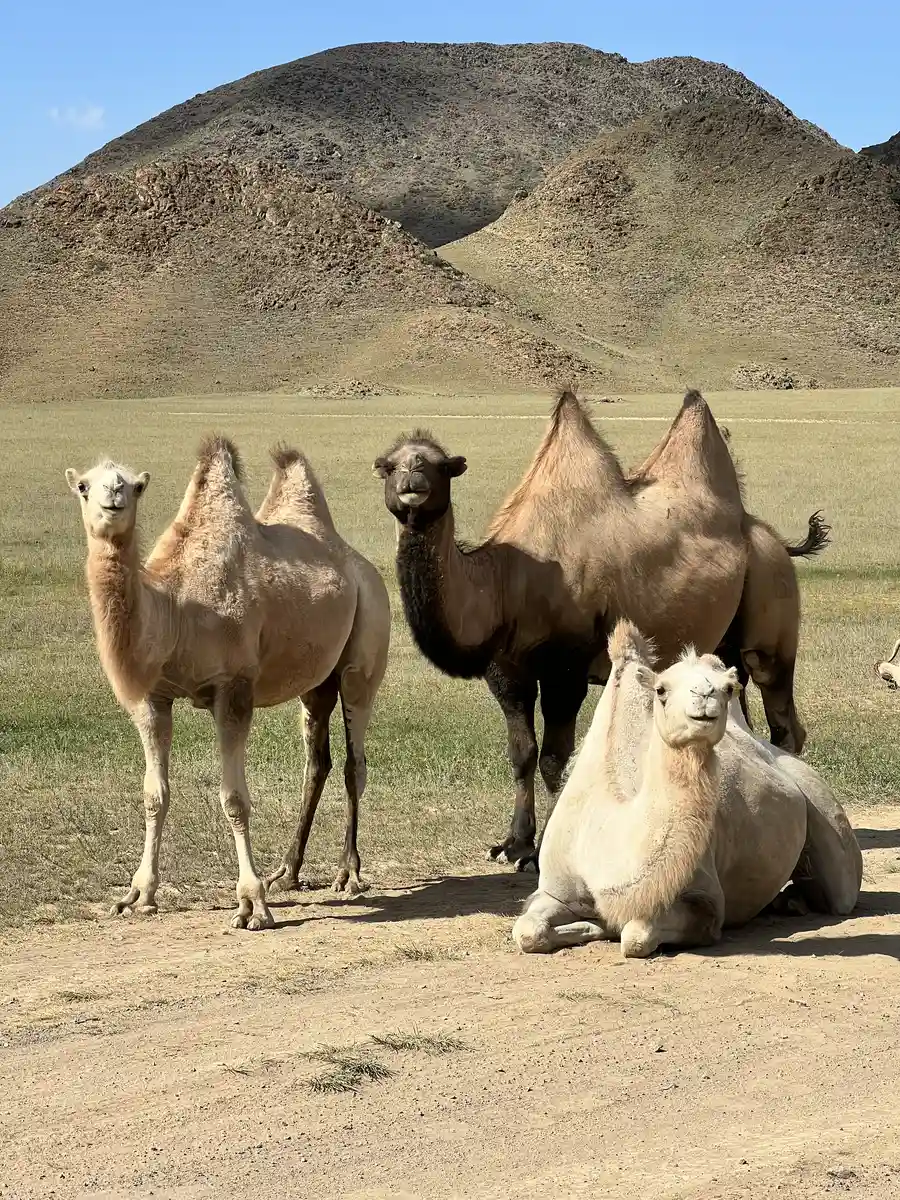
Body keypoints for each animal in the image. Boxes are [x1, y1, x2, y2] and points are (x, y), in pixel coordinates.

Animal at [65, 436, 390, 930]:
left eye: (134, 486)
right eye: (84, 484)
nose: (113, 496)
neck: (178, 608)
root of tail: (364, 568)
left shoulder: (233, 688)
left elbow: (234, 798)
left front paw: (252, 904)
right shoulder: (153, 697)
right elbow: (154, 795)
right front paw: (138, 894)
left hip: (364, 653)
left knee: (356, 760)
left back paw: (347, 873)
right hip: (316, 680)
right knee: (317, 761)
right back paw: (287, 872)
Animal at [373, 389, 826, 870]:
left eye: (438, 464)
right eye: (389, 465)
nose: (411, 482)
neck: (507, 581)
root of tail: (776, 540)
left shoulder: (564, 669)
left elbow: (555, 759)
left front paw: (544, 850)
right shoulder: (506, 671)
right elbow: (521, 754)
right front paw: (513, 844)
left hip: (770, 610)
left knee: (783, 719)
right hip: (726, 644)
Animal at [512, 621, 861, 958]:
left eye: (728, 688)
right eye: (661, 689)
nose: (705, 695)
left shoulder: (705, 900)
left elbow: (637, 936)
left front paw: (609, 926)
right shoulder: (553, 889)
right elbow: (527, 931)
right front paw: (592, 924)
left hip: (823, 812)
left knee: (840, 890)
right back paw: (789, 902)